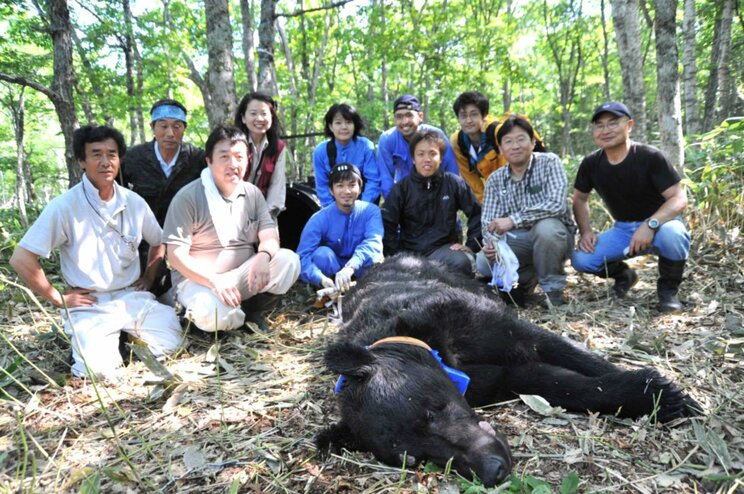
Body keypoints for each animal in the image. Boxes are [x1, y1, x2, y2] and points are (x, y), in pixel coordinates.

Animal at [316, 255, 700, 486]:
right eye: (415, 458)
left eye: (432, 411)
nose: (494, 472)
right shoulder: (504, 378)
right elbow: (563, 384)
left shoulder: (515, 334)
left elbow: (585, 361)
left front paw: (660, 394)